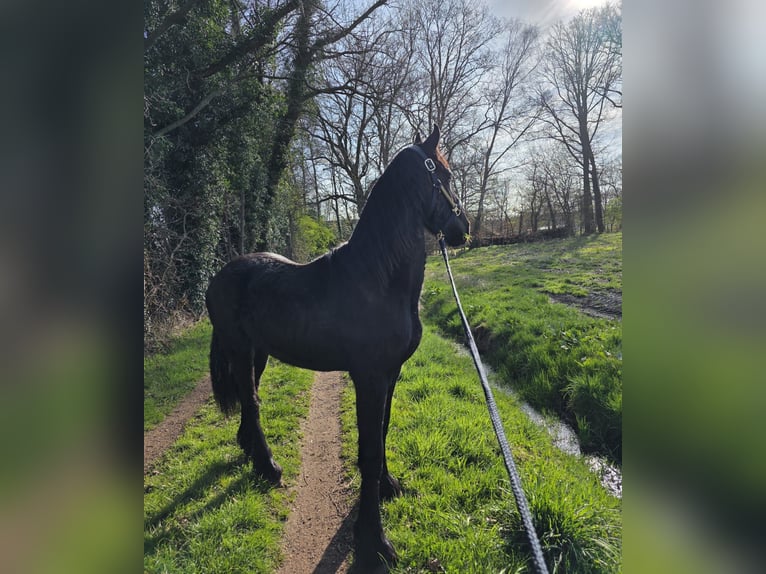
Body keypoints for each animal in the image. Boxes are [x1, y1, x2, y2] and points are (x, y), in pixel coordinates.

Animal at [204, 125, 470, 569]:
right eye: (445, 176)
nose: (462, 229)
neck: (379, 280)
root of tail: (218, 277)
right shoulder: (370, 378)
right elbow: (368, 450)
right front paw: (374, 541)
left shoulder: (391, 375)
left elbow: (382, 432)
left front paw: (389, 487)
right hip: (241, 352)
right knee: (253, 402)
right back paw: (269, 467)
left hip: (258, 354)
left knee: (247, 397)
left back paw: (253, 455)